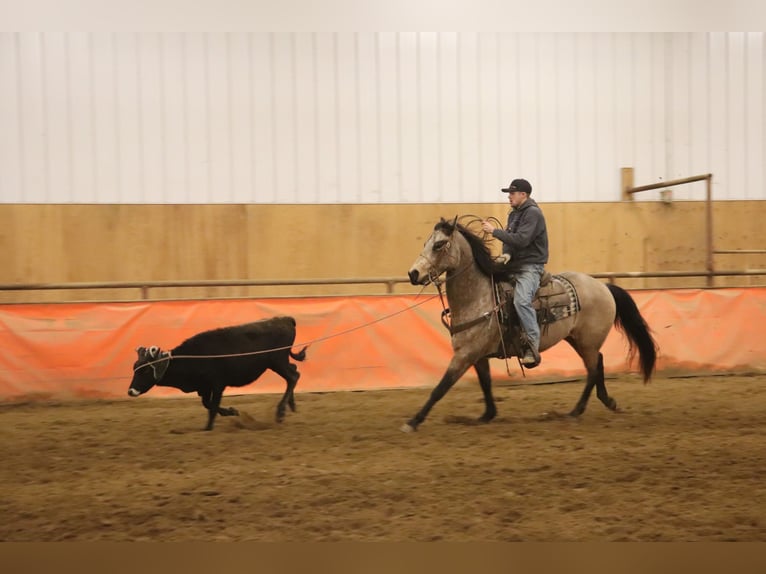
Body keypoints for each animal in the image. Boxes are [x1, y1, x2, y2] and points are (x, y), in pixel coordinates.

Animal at [402, 218, 660, 434]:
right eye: (426, 243)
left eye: (439, 245)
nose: (413, 273)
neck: (479, 297)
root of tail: (604, 287)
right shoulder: (477, 355)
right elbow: (485, 383)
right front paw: (488, 414)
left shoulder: (465, 355)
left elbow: (440, 388)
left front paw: (413, 421)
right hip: (577, 339)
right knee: (598, 364)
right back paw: (604, 401)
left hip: (587, 342)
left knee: (593, 369)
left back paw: (577, 410)